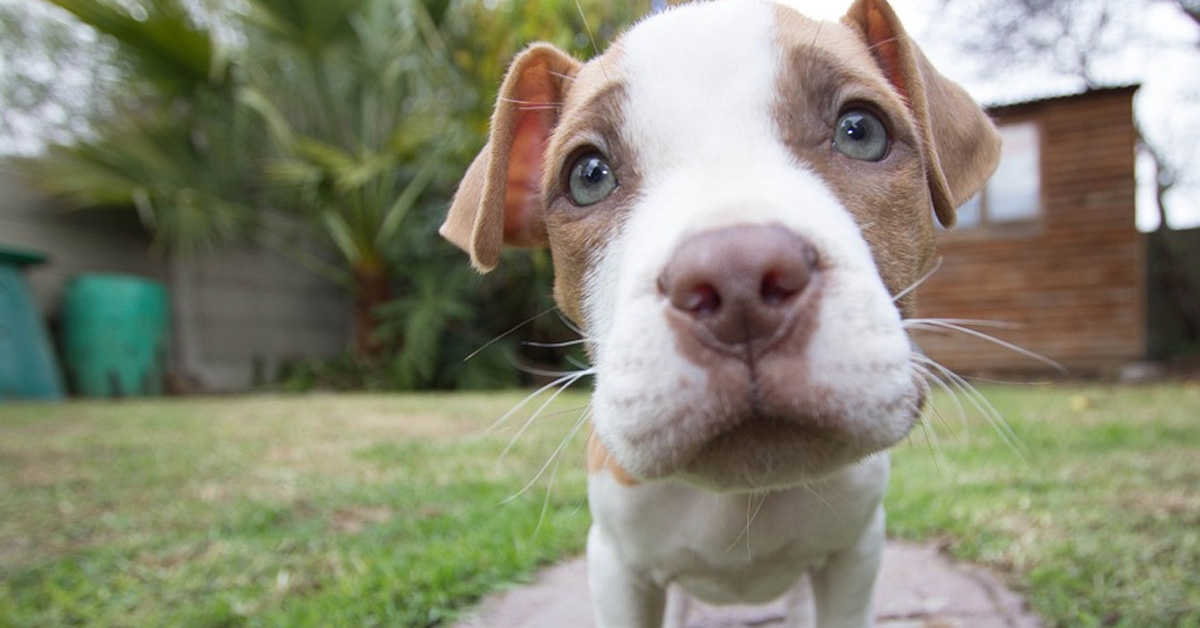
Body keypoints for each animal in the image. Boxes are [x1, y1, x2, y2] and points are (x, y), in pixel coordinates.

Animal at [444, 1, 1003, 628]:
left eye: (861, 131)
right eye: (588, 175)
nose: (738, 279)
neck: (743, 499)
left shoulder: (855, 555)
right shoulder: (617, 568)